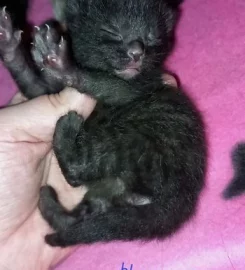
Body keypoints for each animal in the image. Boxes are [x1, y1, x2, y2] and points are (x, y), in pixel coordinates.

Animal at [0, 0, 207, 248]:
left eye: (151, 37)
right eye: (112, 31)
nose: (137, 52)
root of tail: (185, 195)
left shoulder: (137, 87)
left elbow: (105, 83)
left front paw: (63, 66)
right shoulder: (42, 92)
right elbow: (32, 84)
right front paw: (10, 44)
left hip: (135, 138)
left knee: (77, 172)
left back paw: (66, 131)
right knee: (80, 216)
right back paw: (48, 201)